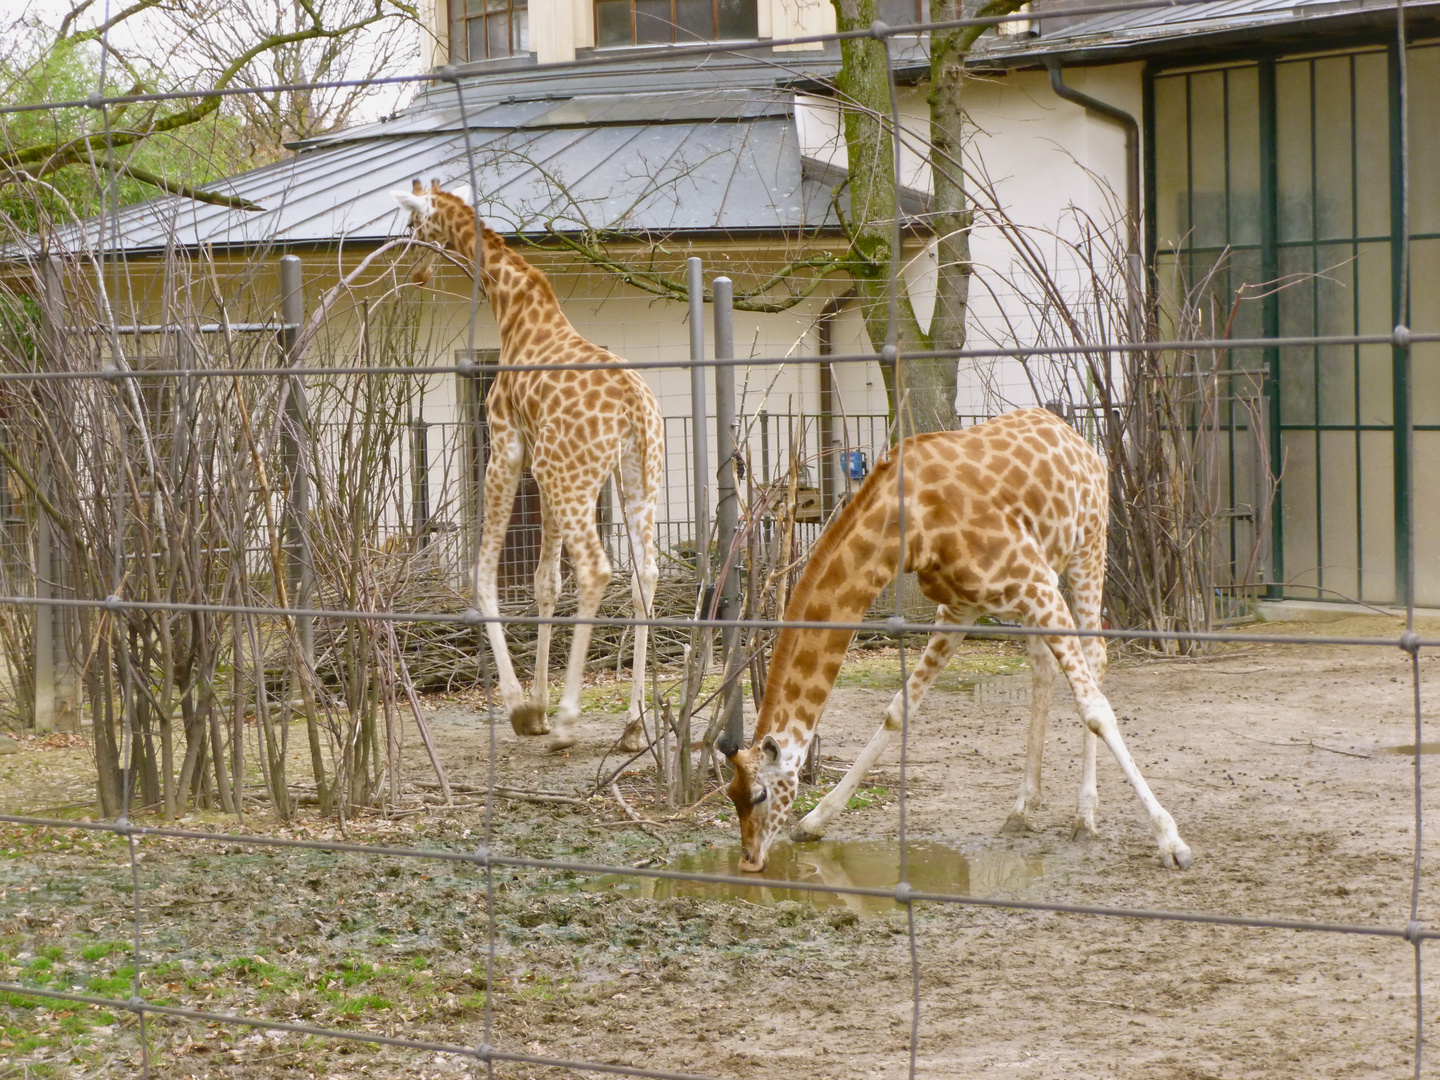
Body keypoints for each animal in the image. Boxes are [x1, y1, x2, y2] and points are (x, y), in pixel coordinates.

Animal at [391, 182, 665, 754]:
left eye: (411, 225)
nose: (415, 272)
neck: (512, 307)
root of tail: (634, 405)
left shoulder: (509, 448)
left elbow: (484, 573)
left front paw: (523, 708)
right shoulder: (543, 467)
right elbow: (544, 583)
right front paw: (537, 705)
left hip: (574, 478)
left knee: (597, 568)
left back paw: (567, 722)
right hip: (636, 477)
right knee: (644, 574)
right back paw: (633, 725)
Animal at [731, 408, 1192, 875]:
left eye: (760, 794)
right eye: (730, 796)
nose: (749, 861)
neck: (909, 528)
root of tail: (1075, 437)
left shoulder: (1035, 583)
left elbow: (1095, 709)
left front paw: (1171, 840)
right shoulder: (961, 608)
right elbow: (899, 709)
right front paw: (814, 821)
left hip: (1087, 550)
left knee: (1095, 657)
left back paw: (1085, 817)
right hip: (1035, 589)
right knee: (1043, 666)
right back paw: (1021, 809)